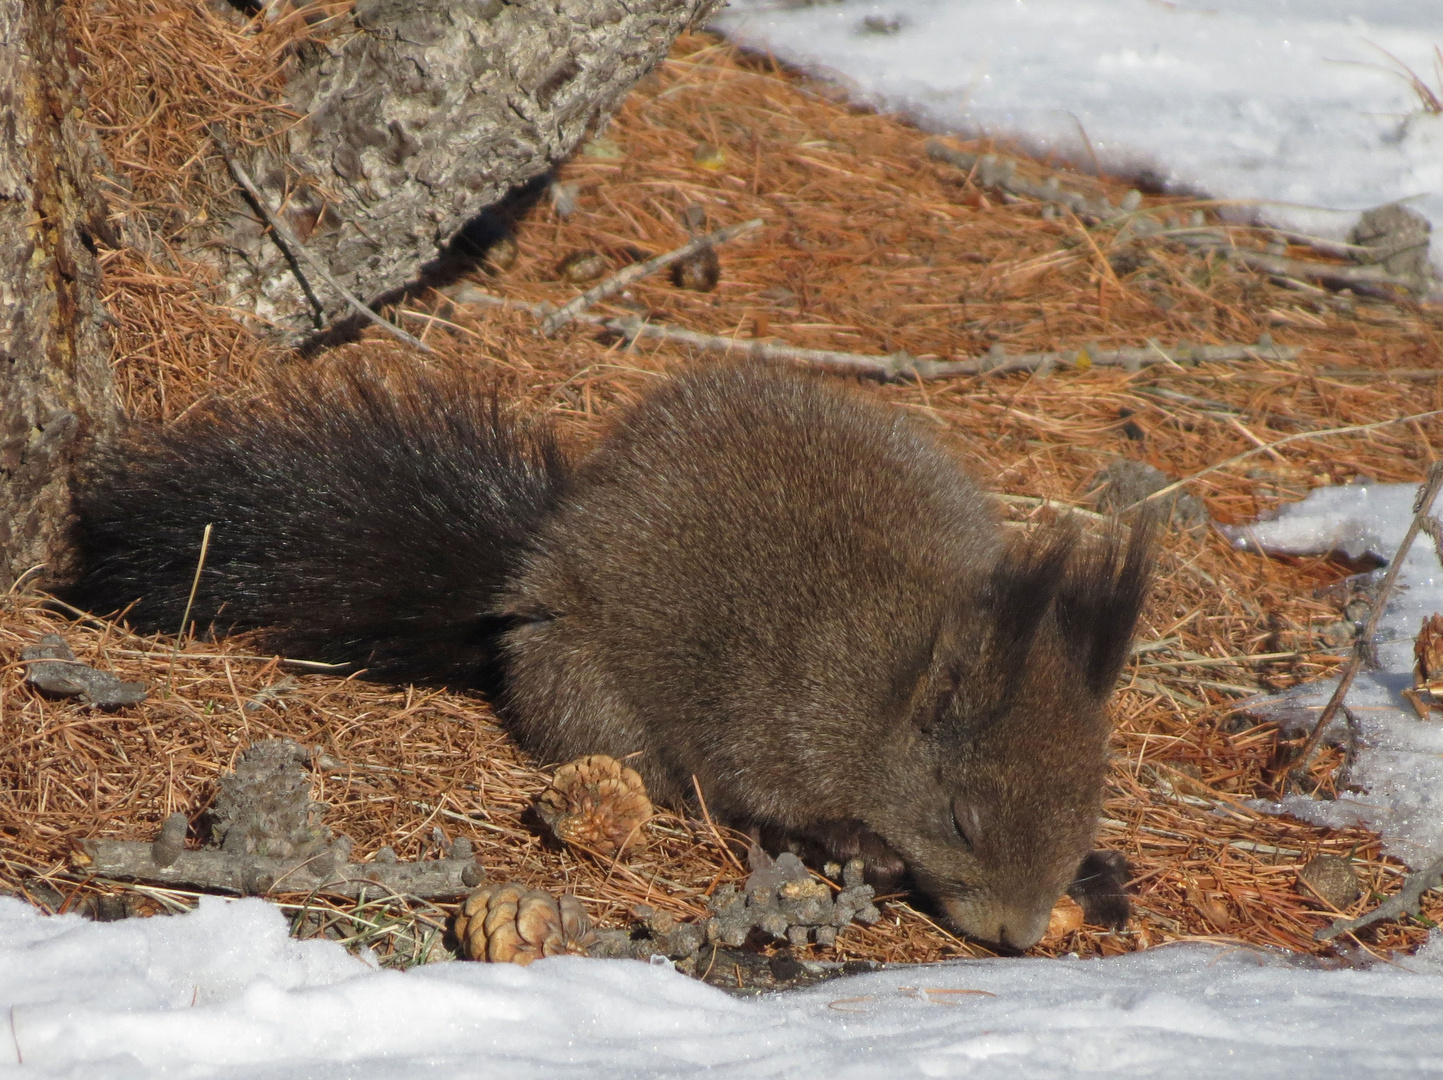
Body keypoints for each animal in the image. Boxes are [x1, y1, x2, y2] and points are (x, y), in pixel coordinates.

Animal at [67, 360, 1154, 947]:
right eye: (962, 819)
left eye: (1088, 804)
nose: (1018, 934)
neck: (891, 680)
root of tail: (529, 563)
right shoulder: (776, 712)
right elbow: (764, 793)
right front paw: (858, 847)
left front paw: (1099, 876)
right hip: (587, 691)